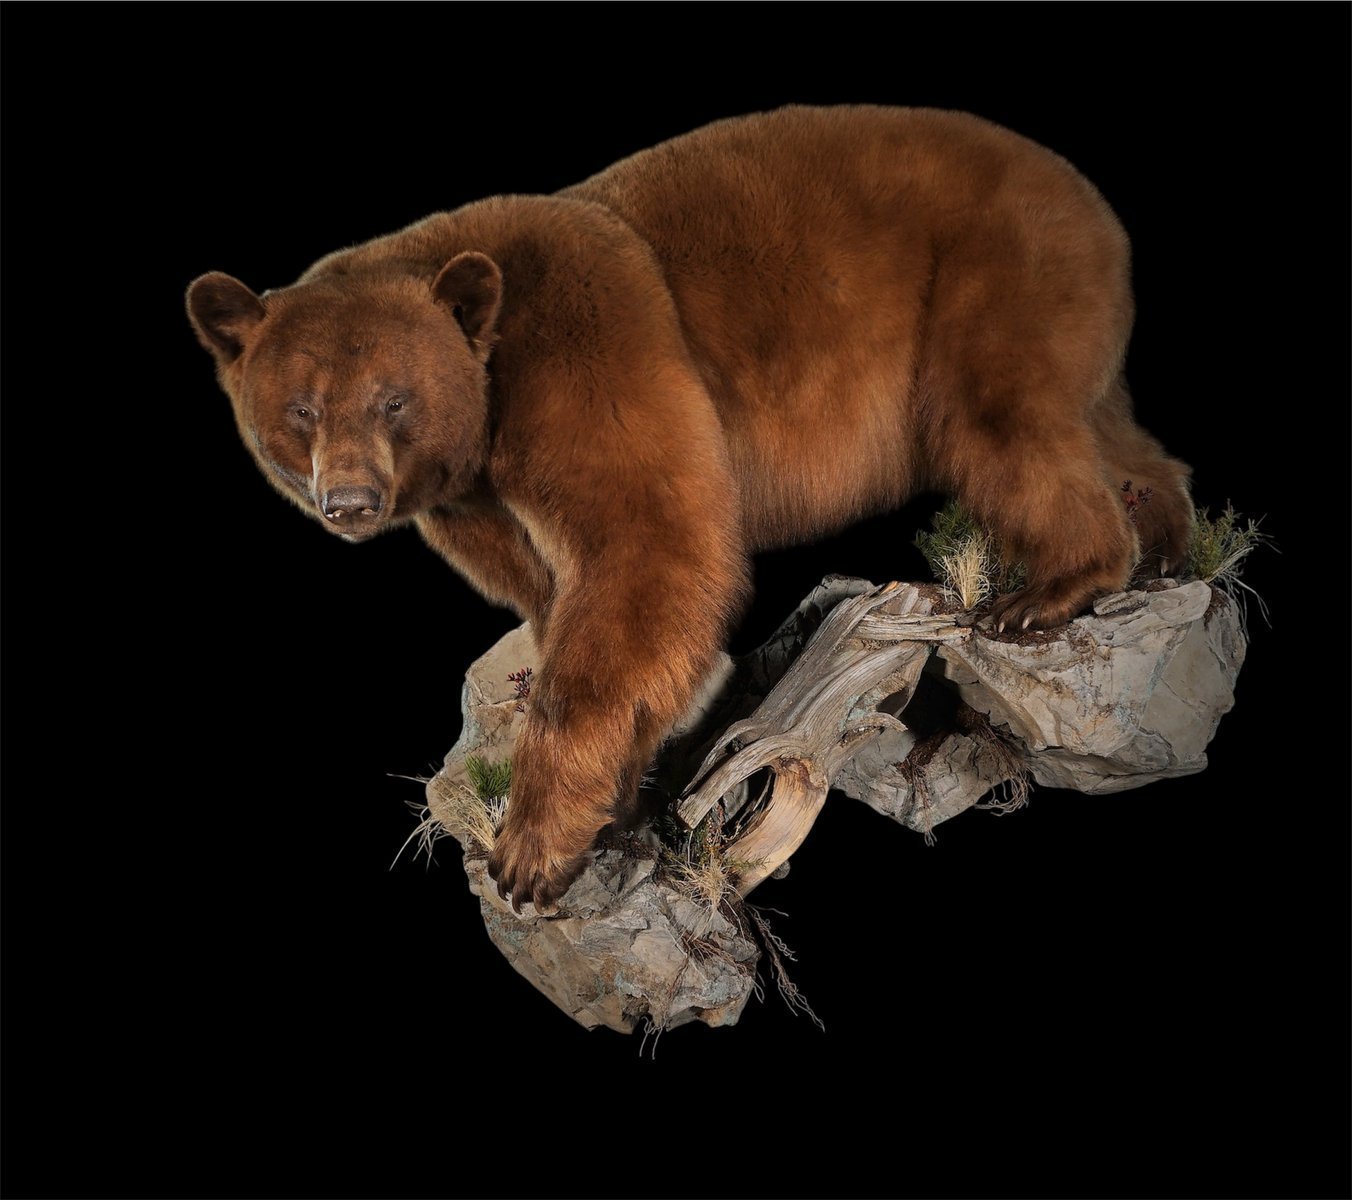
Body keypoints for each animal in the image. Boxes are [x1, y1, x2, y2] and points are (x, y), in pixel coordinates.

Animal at [186, 105, 1191, 914]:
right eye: (302, 407)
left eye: (393, 399)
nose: (349, 501)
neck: (491, 386)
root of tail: (1094, 205)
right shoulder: (474, 499)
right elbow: (554, 591)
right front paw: (620, 790)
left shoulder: (587, 351)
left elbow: (648, 548)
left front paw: (531, 850)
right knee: (1109, 428)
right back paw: (1168, 546)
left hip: (996, 278)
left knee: (1006, 420)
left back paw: (1050, 590)